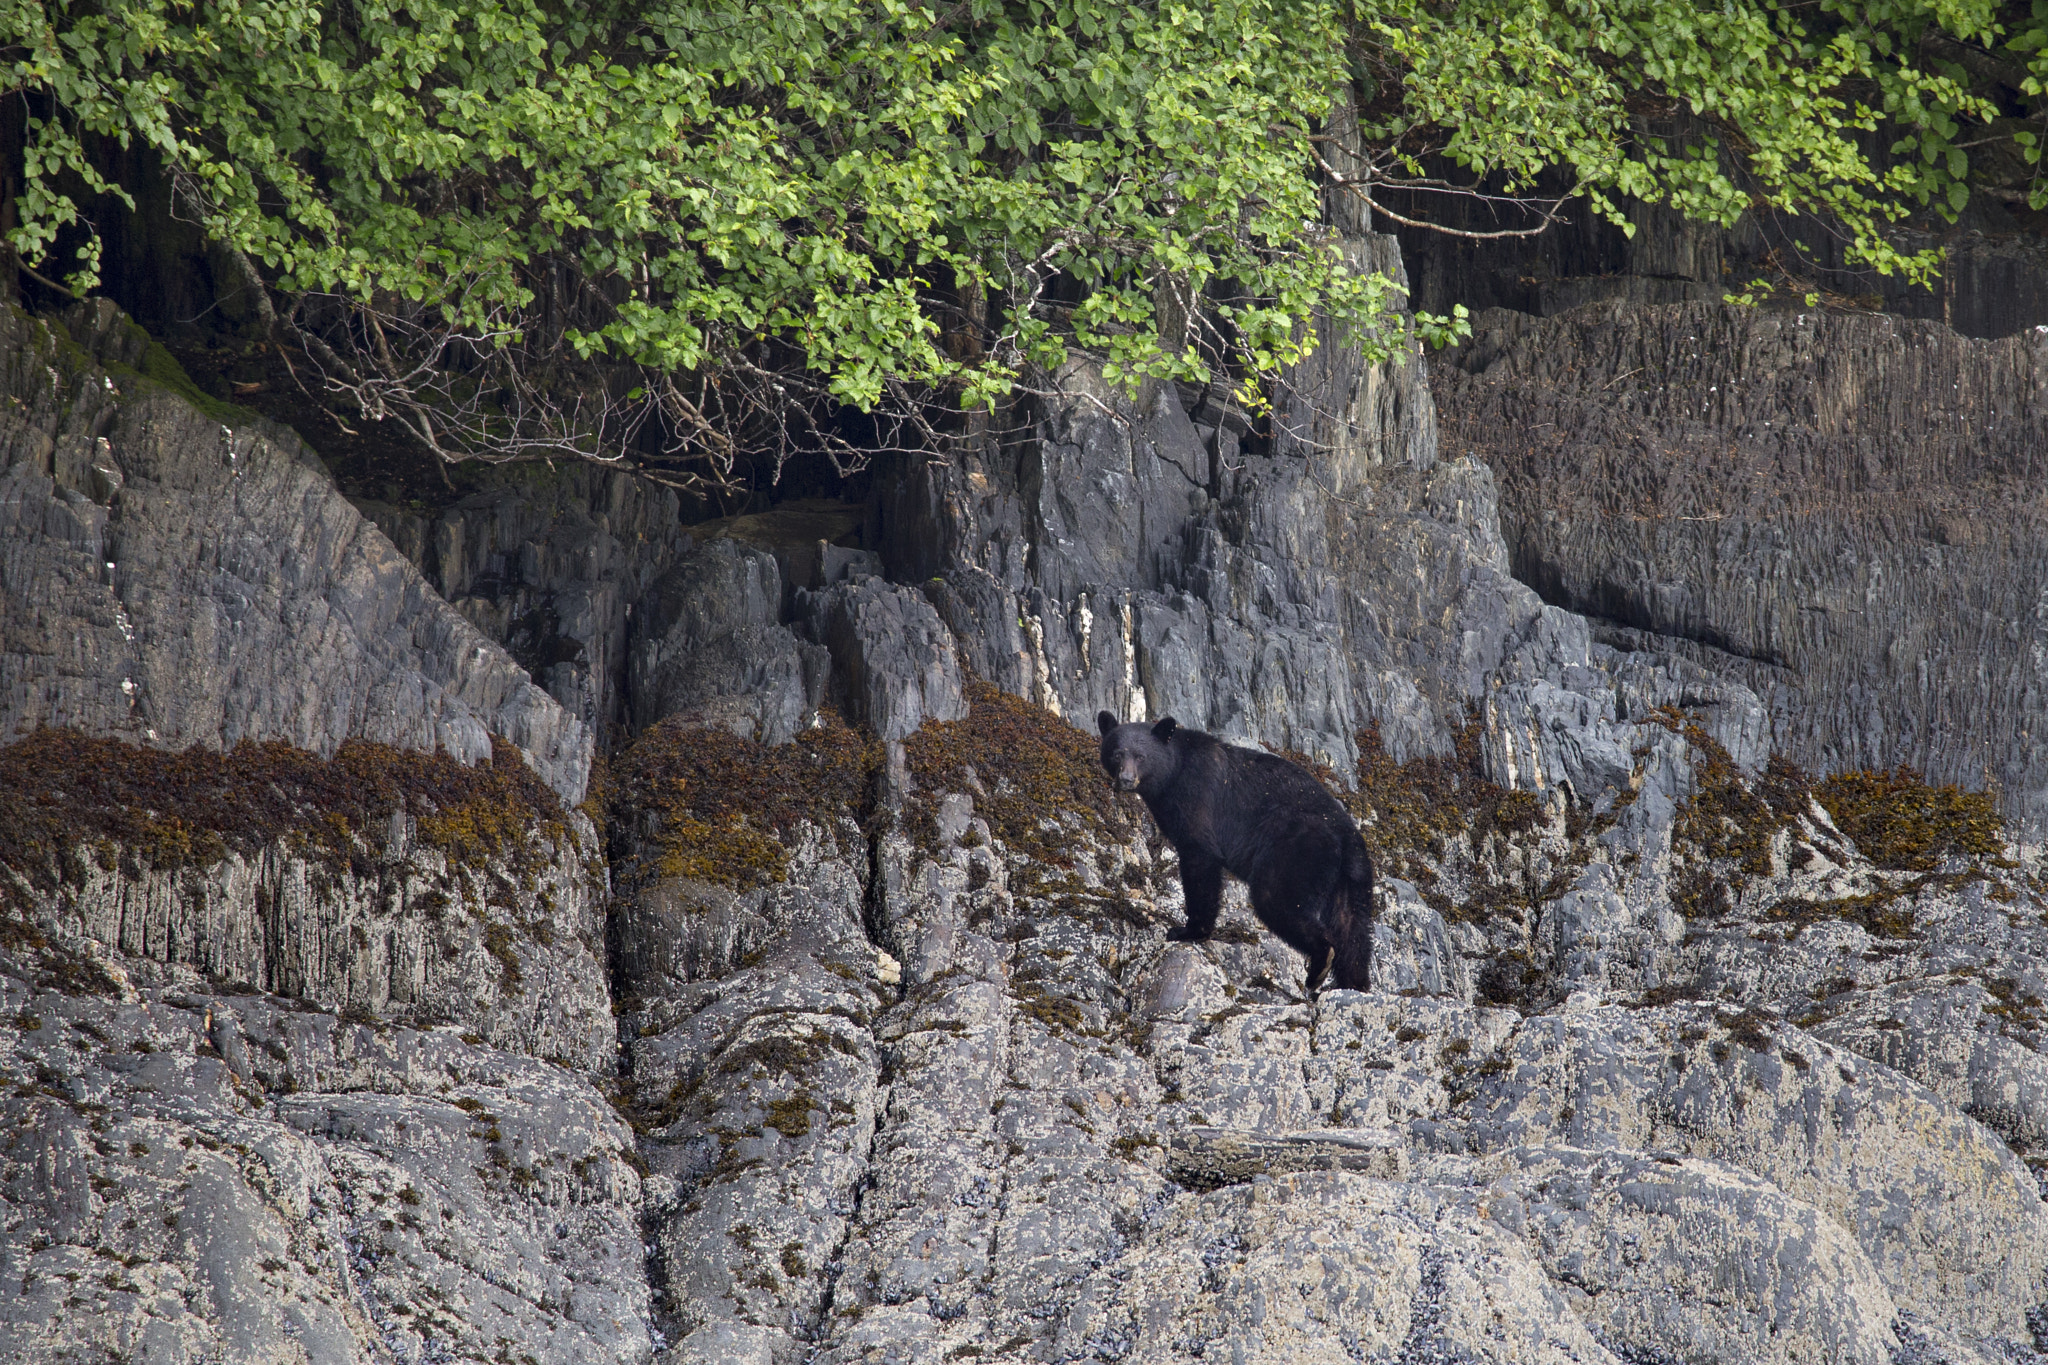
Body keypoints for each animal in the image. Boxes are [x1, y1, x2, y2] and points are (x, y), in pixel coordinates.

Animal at [1097, 712, 1375, 992]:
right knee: (1352, 929)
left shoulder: (1196, 799)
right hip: (1353, 879)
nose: (1126, 779)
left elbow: (1200, 862)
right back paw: (1355, 984)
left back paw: (1320, 964)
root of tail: (1345, 835)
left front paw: (1189, 931)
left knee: (1276, 899)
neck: (1173, 772)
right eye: (1117, 754)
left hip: (1297, 851)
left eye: (1141, 756)